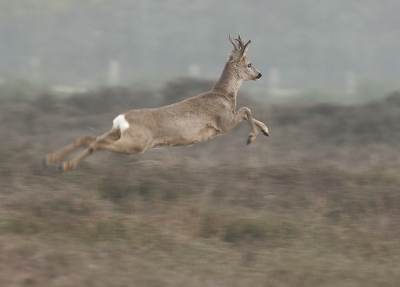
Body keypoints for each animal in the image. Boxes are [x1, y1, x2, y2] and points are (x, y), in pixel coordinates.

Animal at [44, 34, 268, 172]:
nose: (259, 74)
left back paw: (52, 159)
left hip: (118, 133)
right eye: (249, 64)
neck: (223, 95)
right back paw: (65, 165)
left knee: (87, 137)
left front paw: (265, 130)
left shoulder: (226, 120)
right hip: (137, 143)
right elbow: (246, 109)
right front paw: (252, 137)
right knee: (97, 143)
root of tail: (122, 119)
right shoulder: (222, 123)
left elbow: (247, 112)